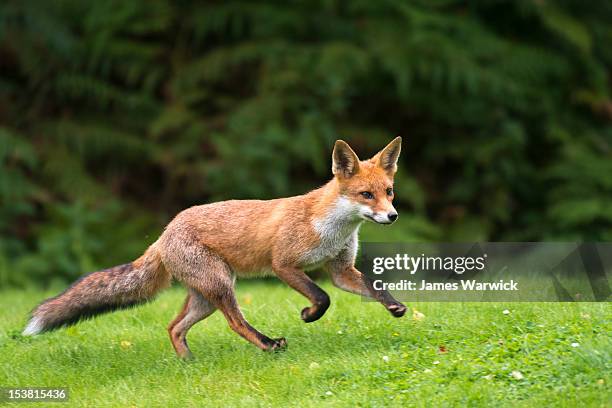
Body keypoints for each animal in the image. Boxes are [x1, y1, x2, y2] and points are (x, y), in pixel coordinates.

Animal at [23, 137, 406, 356]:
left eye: (388, 192)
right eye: (365, 194)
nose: (392, 216)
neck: (330, 227)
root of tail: (164, 233)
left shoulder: (341, 269)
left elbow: (373, 287)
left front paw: (395, 306)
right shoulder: (284, 264)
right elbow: (322, 297)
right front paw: (309, 315)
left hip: (205, 296)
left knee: (174, 327)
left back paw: (187, 365)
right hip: (222, 286)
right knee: (235, 323)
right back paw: (268, 345)